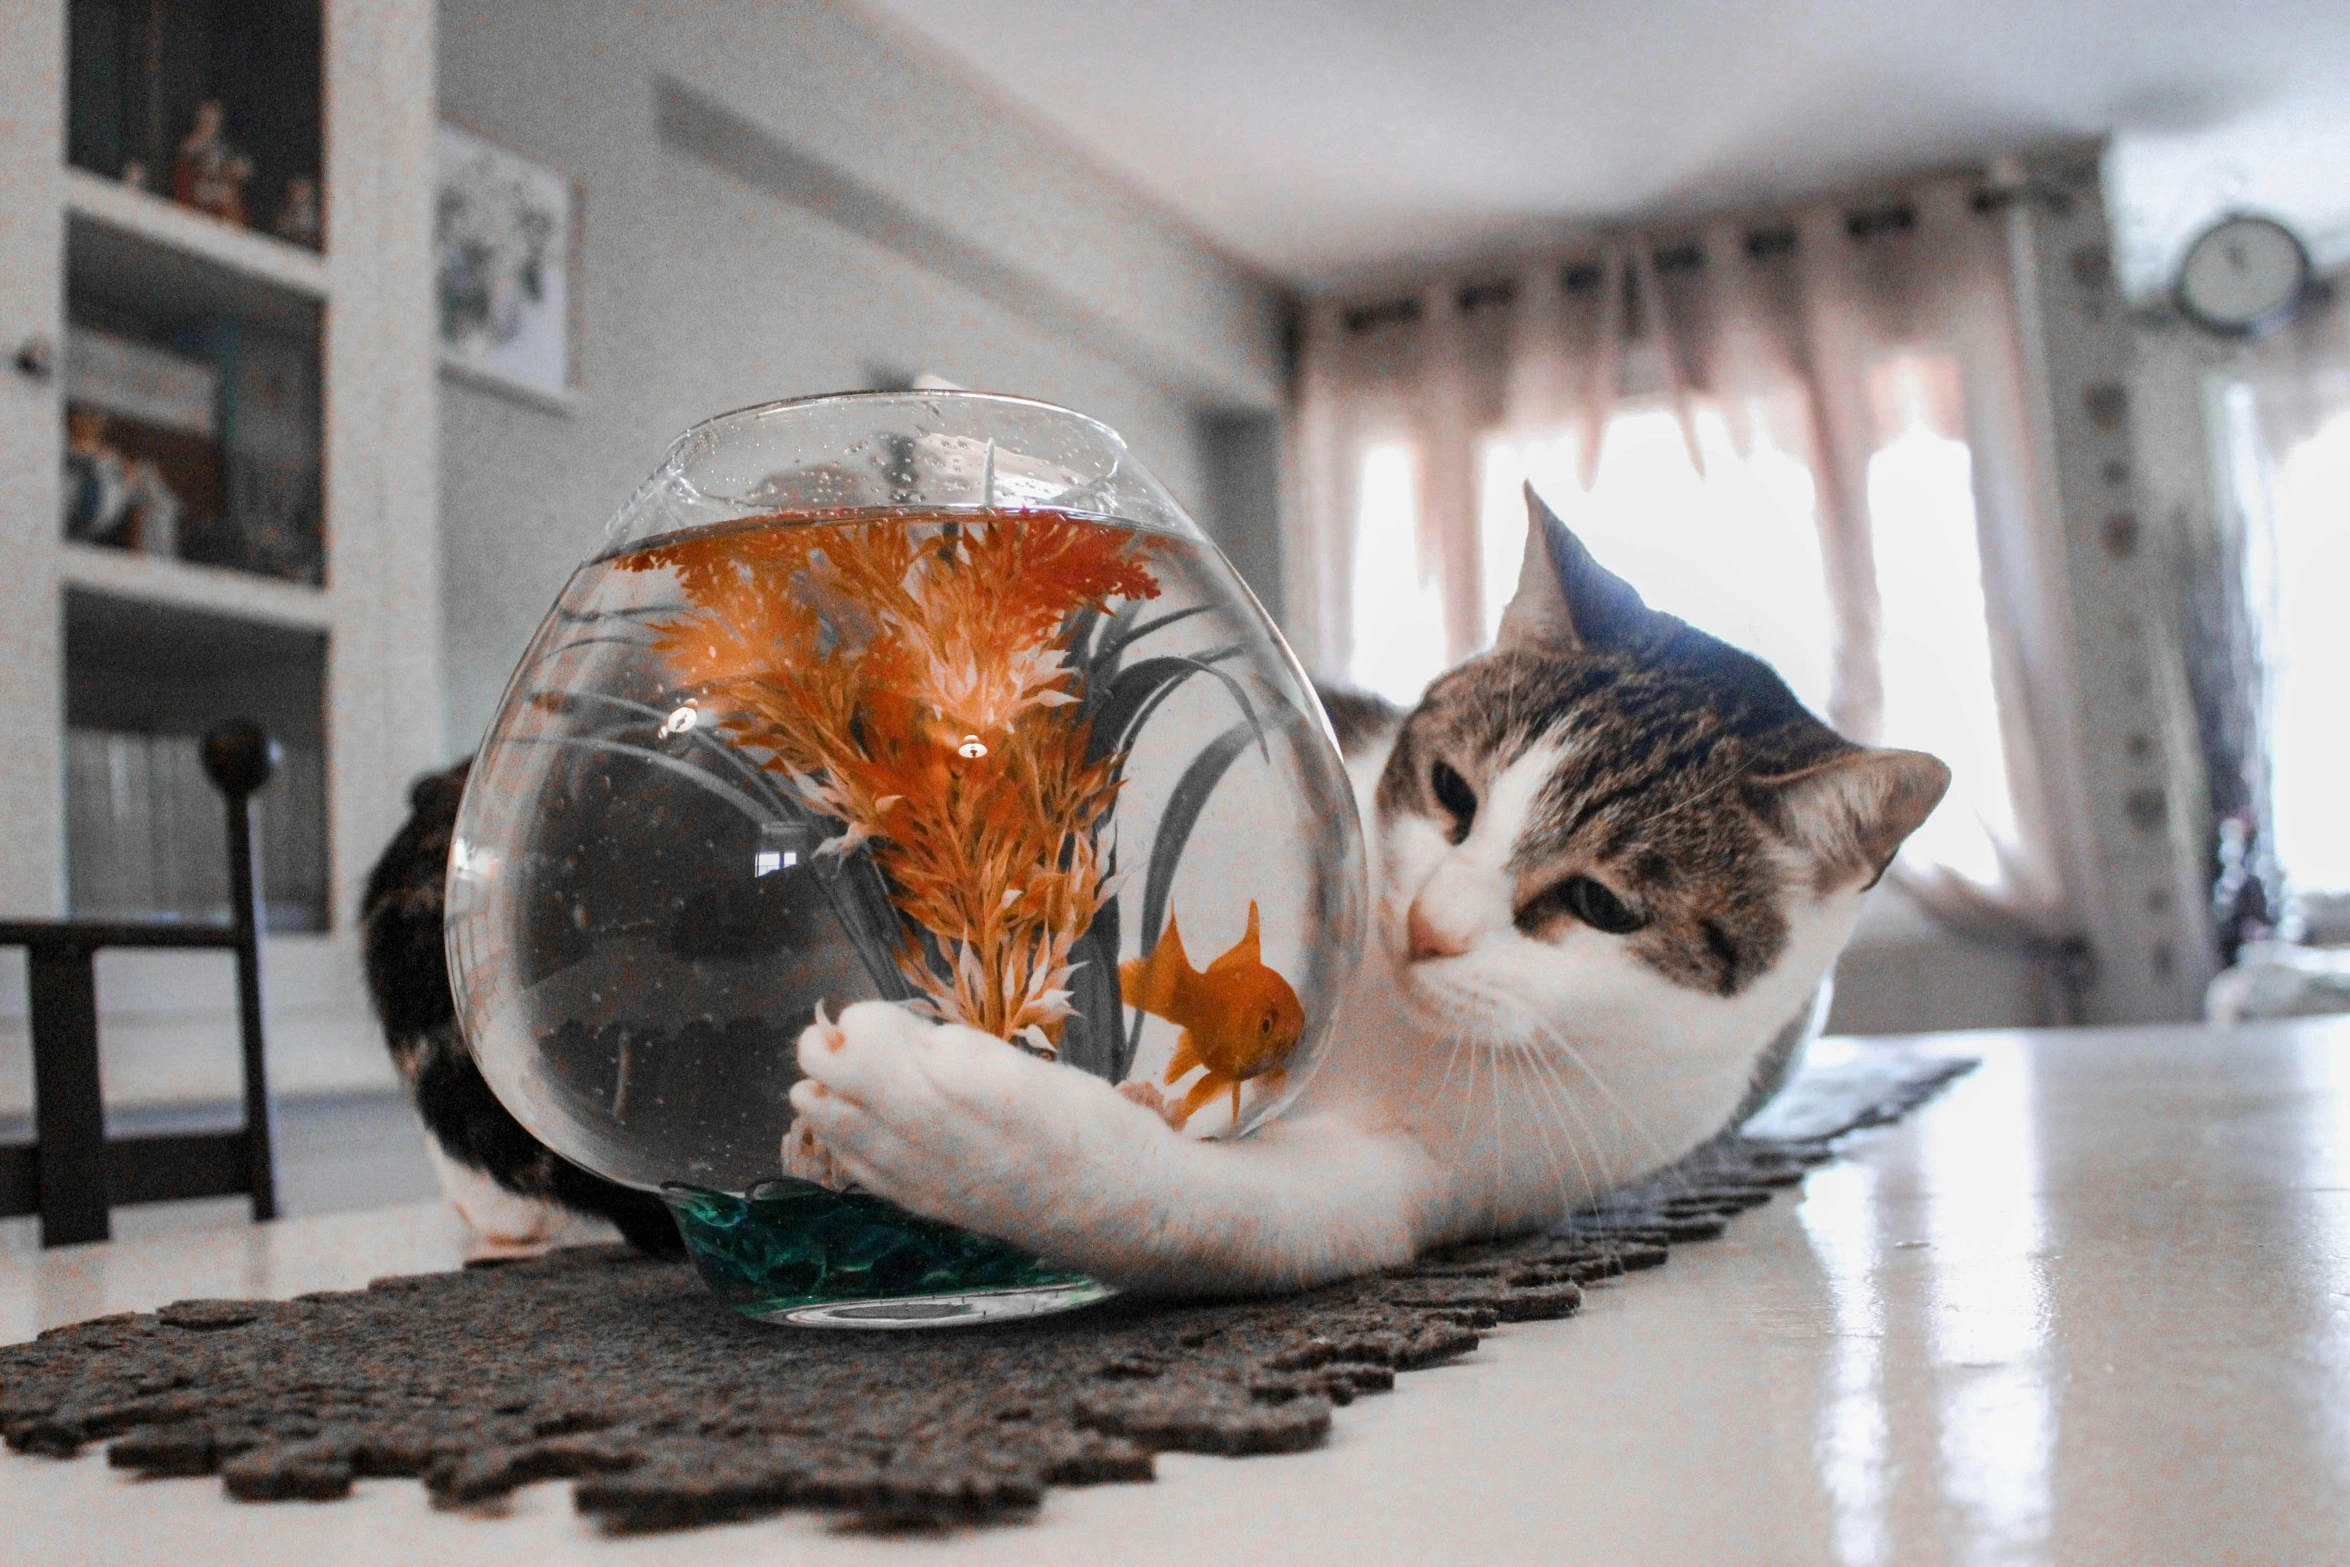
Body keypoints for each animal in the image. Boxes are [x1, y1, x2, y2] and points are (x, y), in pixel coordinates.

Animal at [780, 493, 1955, 1296]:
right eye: (1451, 790)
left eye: (1603, 906)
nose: (1427, 926)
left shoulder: (1449, 1169)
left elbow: (1202, 1207)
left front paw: (931, 1116)